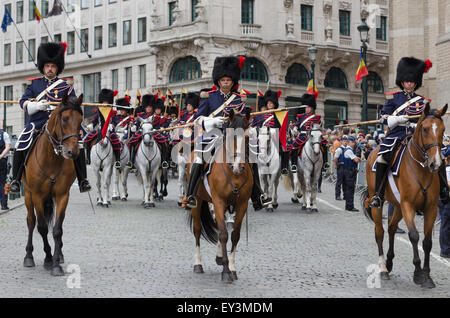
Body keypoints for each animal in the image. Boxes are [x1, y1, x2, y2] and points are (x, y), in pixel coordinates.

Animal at [22, 94, 84, 276]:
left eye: (80, 120)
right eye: (64, 119)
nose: (73, 152)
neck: (52, 158)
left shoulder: (63, 195)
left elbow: (57, 229)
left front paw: (56, 263)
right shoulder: (37, 195)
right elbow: (42, 227)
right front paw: (49, 258)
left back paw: (60, 255)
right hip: (28, 194)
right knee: (31, 221)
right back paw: (29, 256)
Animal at [186, 109, 253, 284]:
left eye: (247, 137)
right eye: (229, 136)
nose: (238, 167)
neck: (233, 175)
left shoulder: (241, 204)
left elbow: (234, 235)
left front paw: (231, 267)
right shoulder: (218, 201)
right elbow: (223, 234)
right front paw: (226, 271)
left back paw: (219, 257)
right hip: (198, 202)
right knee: (197, 231)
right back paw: (198, 264)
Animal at [364, 103, 448, 288]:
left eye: (443, 129)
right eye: (424, 129)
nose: (436, 163)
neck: (421, 168)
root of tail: (372, 151)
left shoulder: (431, 208)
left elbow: (427, 242)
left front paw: (427, 276)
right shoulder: (408, 205)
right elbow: (414, 236)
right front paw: (418, 273)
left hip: (397, 205)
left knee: (391, 228)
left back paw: (389, 262)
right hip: (379, 202)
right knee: (380, 232)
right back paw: (383, 268)